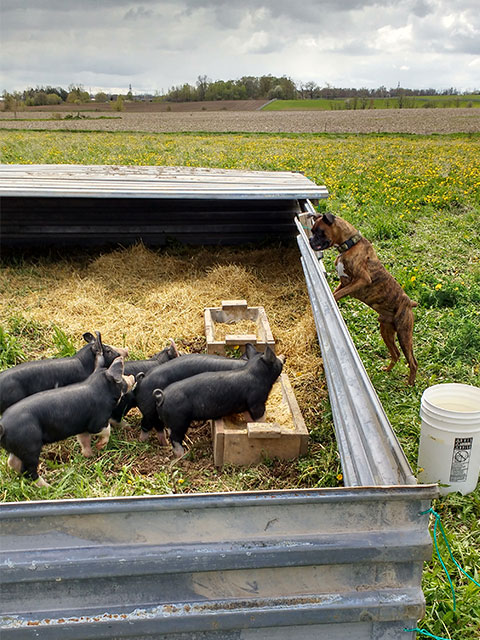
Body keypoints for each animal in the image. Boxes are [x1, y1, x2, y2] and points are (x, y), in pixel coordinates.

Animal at [0, 356, 135, 484]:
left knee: (12, 462)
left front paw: (89, 455)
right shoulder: (97, 421)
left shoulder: (82, 426)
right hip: (30, 447)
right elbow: (107, 430)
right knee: (28, 471)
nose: (132, 377)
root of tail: (3, 426)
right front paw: (100, 446)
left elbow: (84, 440)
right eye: (122, 378)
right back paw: (48, 486)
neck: (102, 390)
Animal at [153, 344, 284, 456]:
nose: (284, 358)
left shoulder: (246, 406)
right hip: (178, 421)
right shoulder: (257, 403)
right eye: (276, 359)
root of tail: (161, 397)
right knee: (175, 439)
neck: (257, 373)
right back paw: (183, 454)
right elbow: (260, 418)